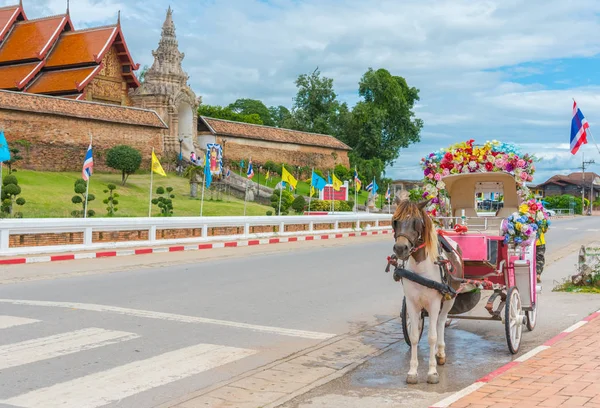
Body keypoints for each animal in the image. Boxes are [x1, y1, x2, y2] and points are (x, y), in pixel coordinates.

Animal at [392, 196, 462, 384]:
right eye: (395, 221)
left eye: (416, 222)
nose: (400, 248)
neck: (421, 269)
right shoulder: (411, 303)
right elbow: (414, 337)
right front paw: (412, 372)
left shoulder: (434, 302)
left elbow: (431, 337)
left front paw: (432, 372)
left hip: (450, 298)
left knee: (440, 322)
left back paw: (441, 352)